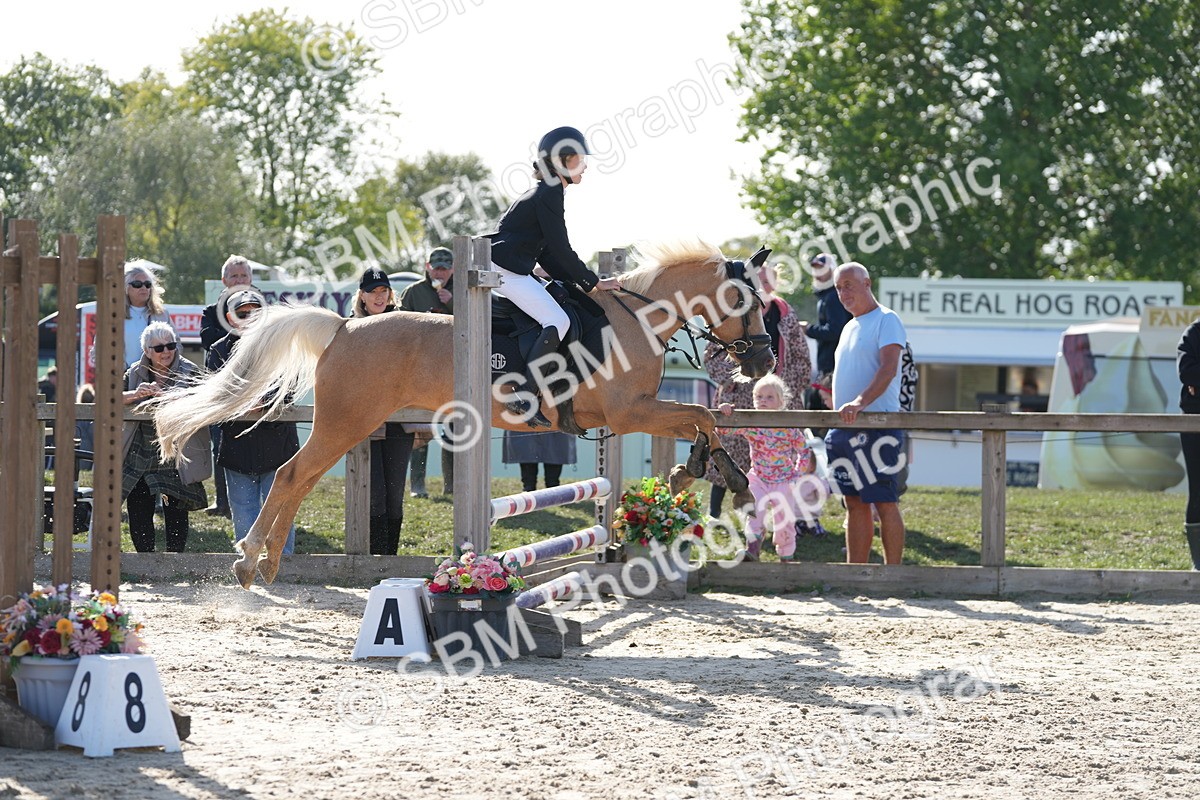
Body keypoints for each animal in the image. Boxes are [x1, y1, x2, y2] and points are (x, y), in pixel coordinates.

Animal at [152, 241, 776, 587]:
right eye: (745, 301)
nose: (766, 358)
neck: (636, 320)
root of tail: (345, 326)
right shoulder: (629, 414)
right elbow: (701, 414)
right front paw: (704, 472)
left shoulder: (634, 415)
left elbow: (705, 419)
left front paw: (702, 471)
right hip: (344, 422)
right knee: (288, 476)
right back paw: (248, 563)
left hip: (351, 425)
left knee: (296, 480)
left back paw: (265, 565)